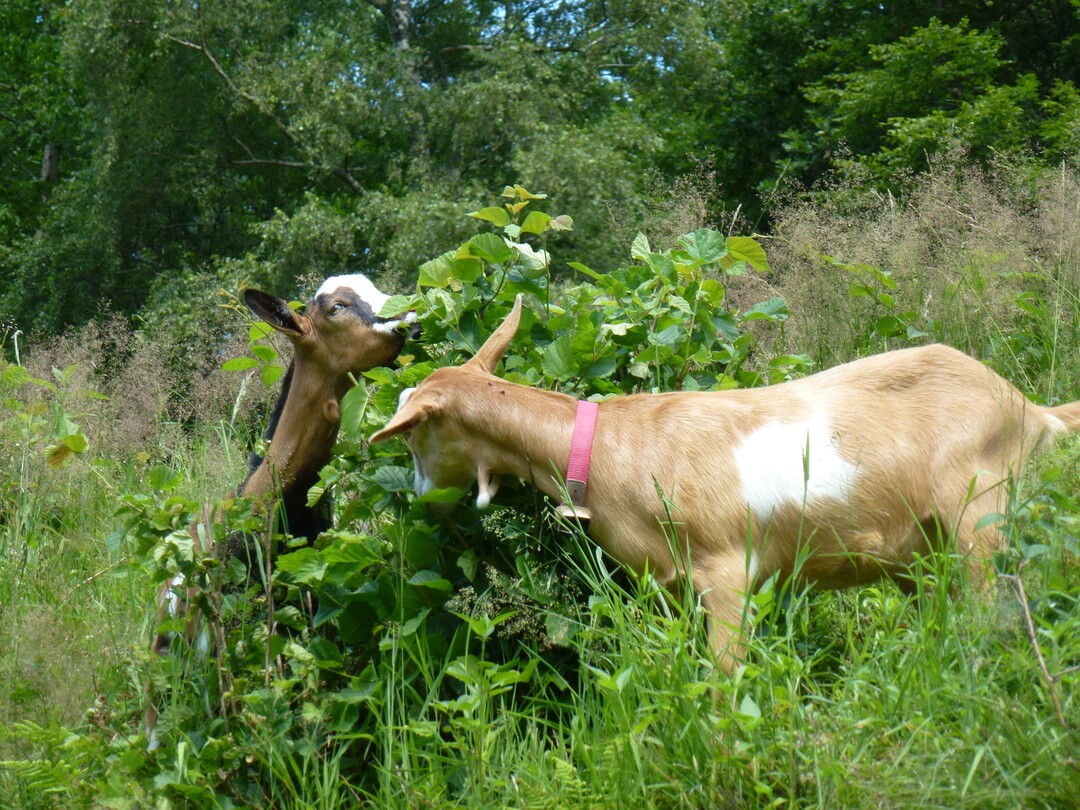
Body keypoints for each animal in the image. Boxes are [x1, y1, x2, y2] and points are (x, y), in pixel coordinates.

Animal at [370, 296, 1080, 669]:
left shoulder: (728, 569)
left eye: (411, 432)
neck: (612, 448)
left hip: (981, 514)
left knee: (995, 608)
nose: (420, 494)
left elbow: (722, 679)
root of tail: (1032, 410)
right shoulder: (671, 586)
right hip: (923, 550)